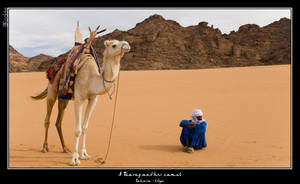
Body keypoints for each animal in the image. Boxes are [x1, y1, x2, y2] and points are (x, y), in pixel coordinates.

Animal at [31, 23, 131, 165]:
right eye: (113, 45)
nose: (127, 45)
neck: (91, 78)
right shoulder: (79, 99)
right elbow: (77, 130)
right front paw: (75, 159)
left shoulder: (93, 99)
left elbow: (85, 127)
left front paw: (84, 154)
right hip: (52, 91)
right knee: (47, 119)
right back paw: (45, 147)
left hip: (64, 97)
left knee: (58, 121)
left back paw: (65, 148)